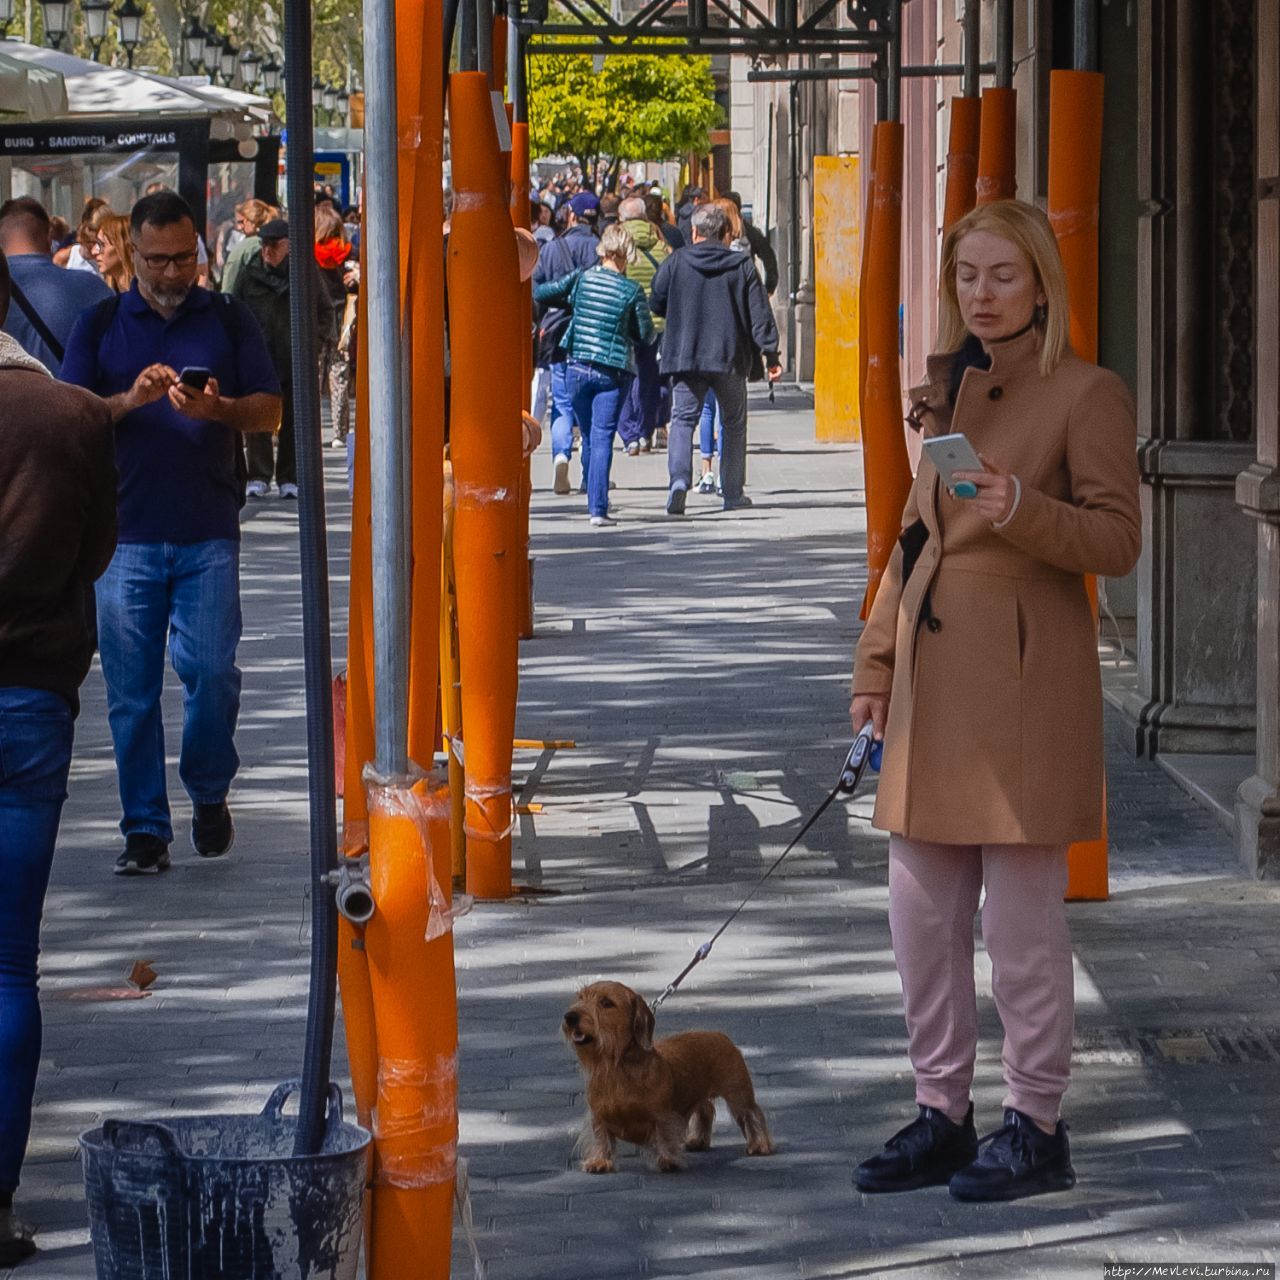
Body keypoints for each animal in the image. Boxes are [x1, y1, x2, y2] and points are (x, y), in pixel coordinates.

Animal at [560, 983, 768, 1172]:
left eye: (606, 1003)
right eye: (580, 998)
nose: (570, 1017)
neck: (616, 1069)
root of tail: (720, 1034)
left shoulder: (662, 1115)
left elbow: (665, 1135)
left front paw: (669, 1160)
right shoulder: (598, 1116)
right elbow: (601, 1138)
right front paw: (599, 1161)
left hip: (738, 1092)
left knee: (751, 1113)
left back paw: (759, 1145)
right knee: (706, 1109)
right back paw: (698, 1140)